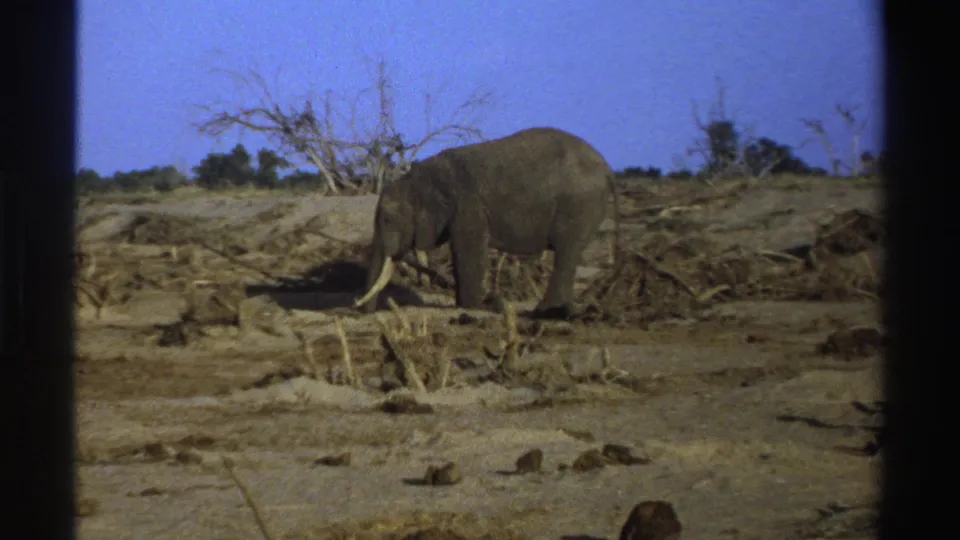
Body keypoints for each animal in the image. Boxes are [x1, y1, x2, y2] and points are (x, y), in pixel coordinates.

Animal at [354, 126, 621, 319]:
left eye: (388, 219)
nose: (360, 311)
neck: (419, 177)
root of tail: (608, 170)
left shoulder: (468, 206)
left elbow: (469, 251)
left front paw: (472, 306)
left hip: (578, 204)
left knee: (566, 252)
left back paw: (545, 312)